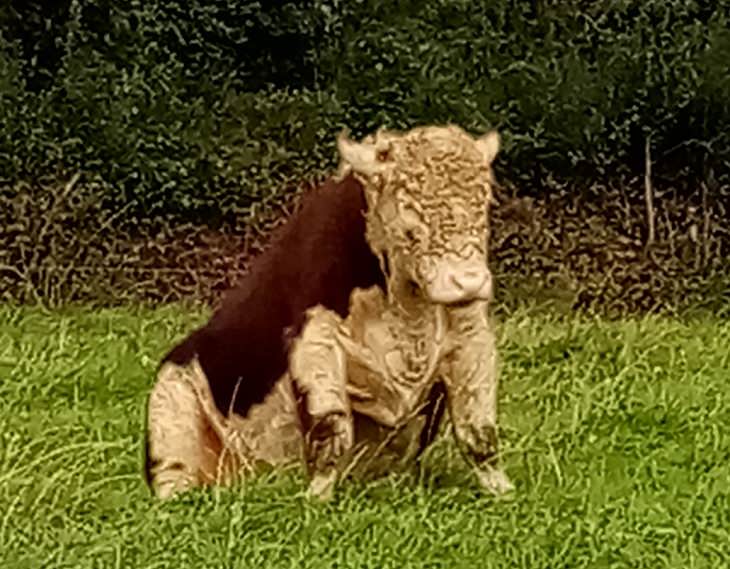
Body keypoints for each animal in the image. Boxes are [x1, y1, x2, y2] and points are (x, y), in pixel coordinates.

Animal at [144, 123, 512, 496]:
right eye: (410, 224)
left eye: (483, 210)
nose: (468, 281)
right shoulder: (314, 338)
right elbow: (331, 427)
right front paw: (316, 496)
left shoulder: (473, 335)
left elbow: (479, 431)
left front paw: (502, 491)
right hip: (170, 409)